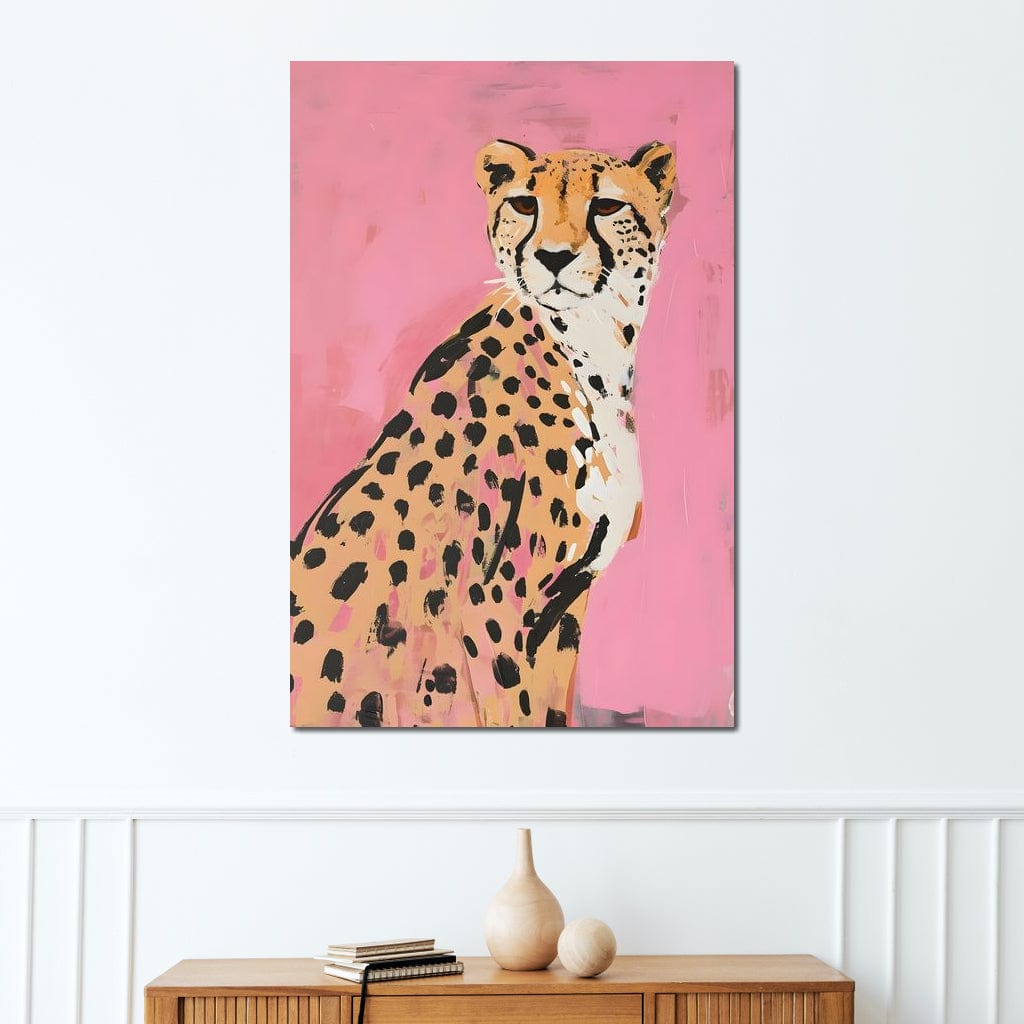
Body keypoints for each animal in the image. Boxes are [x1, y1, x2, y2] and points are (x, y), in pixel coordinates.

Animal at [290, 138, 676, 726]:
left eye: (608, 207)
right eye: (524, 204)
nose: (554, 257)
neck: (592, 350)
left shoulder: (567, 604)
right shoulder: (493, 603)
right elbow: (510, 702)